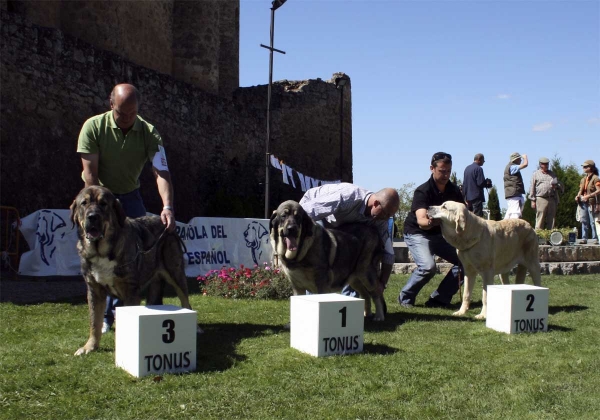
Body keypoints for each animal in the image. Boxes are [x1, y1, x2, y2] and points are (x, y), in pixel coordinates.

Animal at [70, 186, 193, 354]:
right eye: (84, 203)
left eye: (103, 204)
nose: (92, 216)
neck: (102, 252)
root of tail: (167, 224)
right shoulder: (94, 290)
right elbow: (94, 321)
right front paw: (89, 347)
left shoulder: (130, 291)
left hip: (175, 272)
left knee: (185, 300)